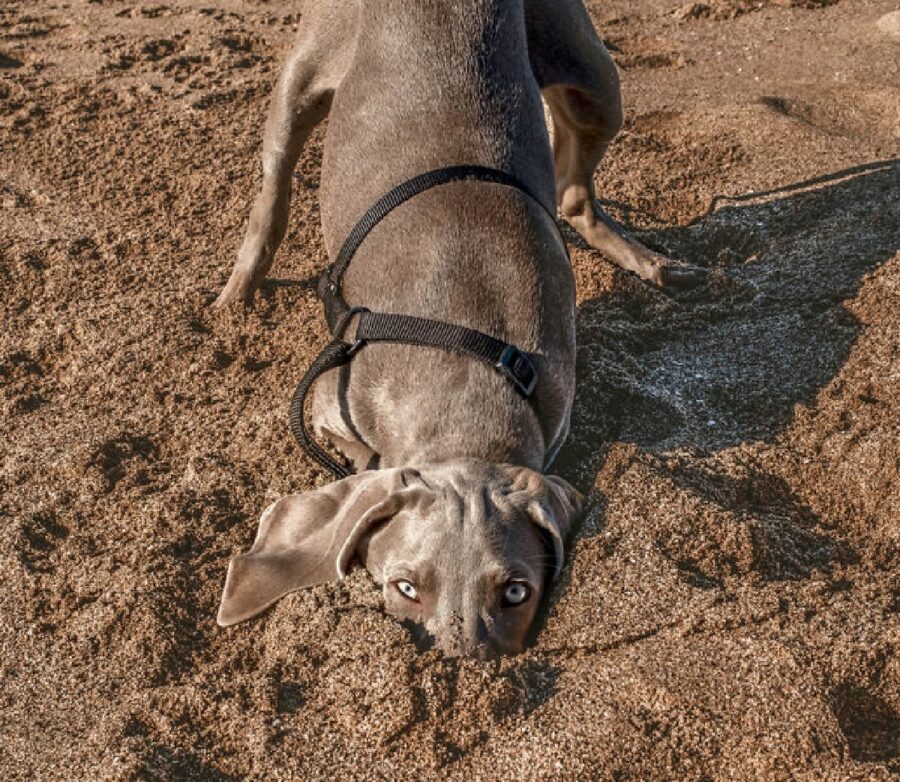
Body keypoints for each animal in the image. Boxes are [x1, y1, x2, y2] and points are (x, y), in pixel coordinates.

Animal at [213, 0, 704, 660]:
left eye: (517, 591)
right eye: (405, 587)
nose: (470, 664)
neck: (464, 382)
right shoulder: (325, 400)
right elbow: (363, 460)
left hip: (596, 79)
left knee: (573, 196)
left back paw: (651, 263)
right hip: (303, 76)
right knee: (273, 193)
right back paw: (237, 292)